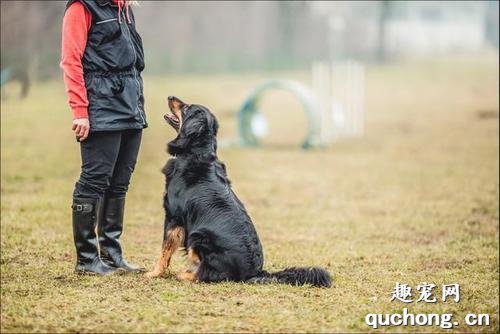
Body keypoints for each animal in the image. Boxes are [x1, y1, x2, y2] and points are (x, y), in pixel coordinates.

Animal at [145, 96, 332, 288]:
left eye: (186, 107)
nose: (170, 97)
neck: (196, 152)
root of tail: (255, 272)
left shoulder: (173, 217)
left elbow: (164, 251)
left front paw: (154, 273)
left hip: (198, 236)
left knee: (209, 274)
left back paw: (185, 275)